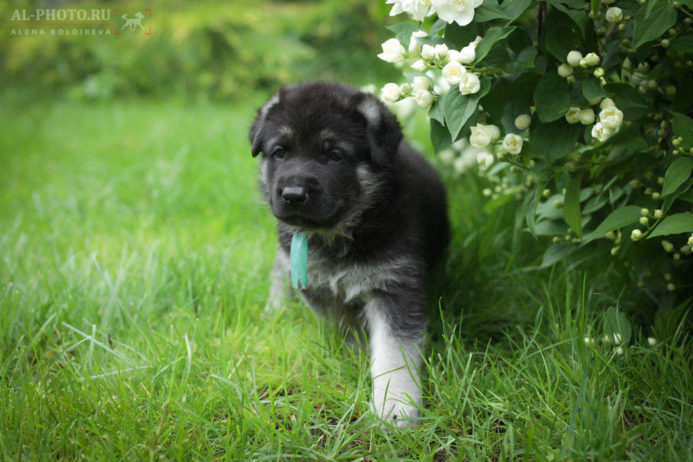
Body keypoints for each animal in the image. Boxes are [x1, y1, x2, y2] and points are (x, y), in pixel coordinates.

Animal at [248, 81, 449, 427]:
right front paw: (357, 353)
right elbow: (345, 325)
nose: (293, 195)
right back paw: (276, 309)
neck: (340, 232)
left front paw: (394, 406)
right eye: (279, 152)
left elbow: (394, 353)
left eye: (334, 156)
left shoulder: (394, 284)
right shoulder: (314, 283)